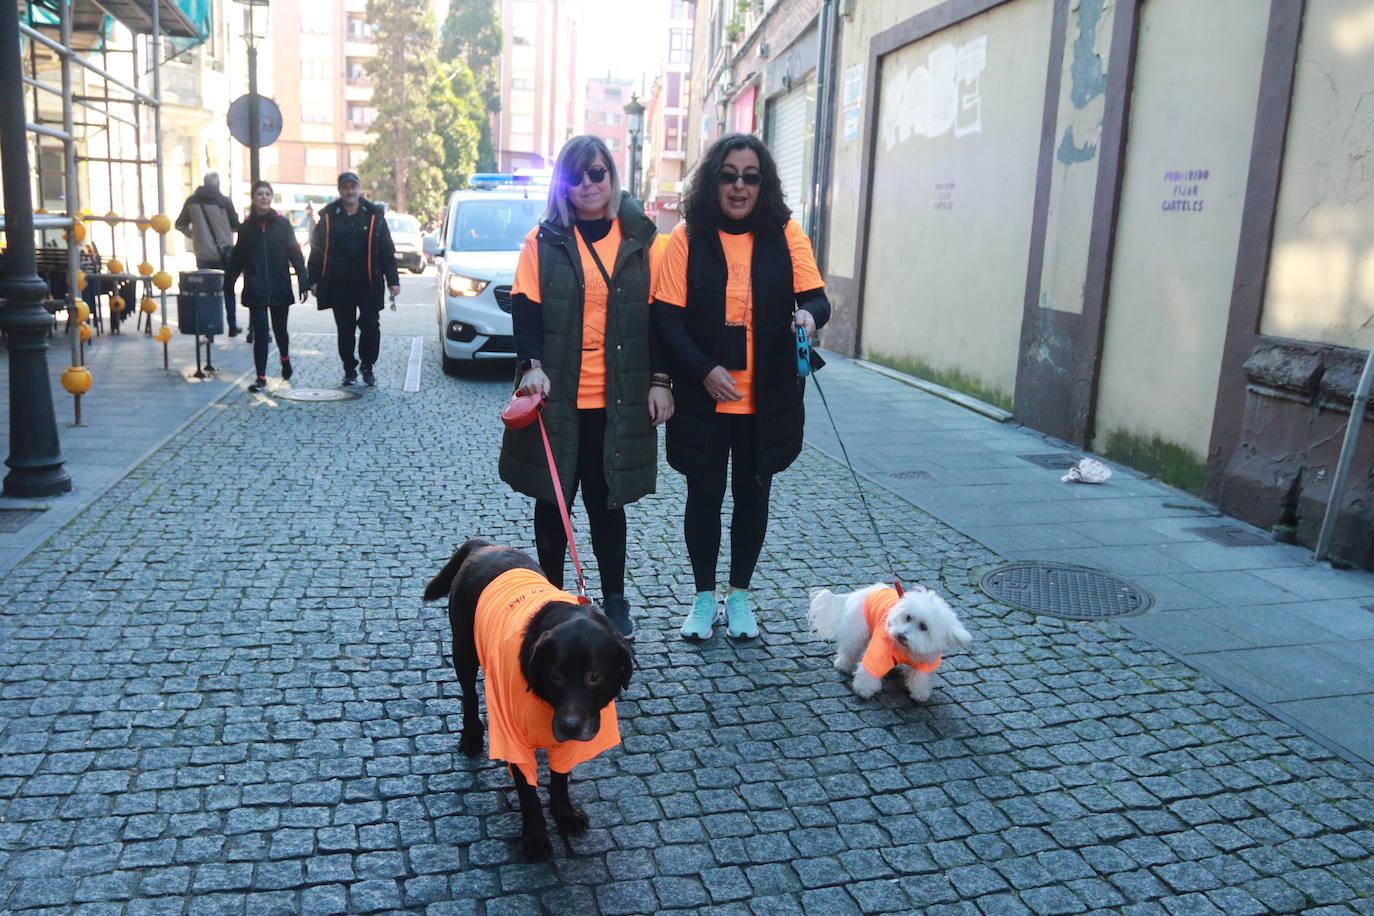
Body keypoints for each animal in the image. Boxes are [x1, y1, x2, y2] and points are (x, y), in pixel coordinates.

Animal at [423, 538, 632, 862]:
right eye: (555, 676)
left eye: (595, 676)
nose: (570, 726)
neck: (548, 704)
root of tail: (483, 546)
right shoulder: (512, 736)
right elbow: (527, 790)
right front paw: (535, 838)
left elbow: (560, 778)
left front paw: (564, 814)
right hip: (464, 650)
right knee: (469, 695)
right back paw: (471, 737)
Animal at [807, 585, 972, 708]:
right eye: (908, 617)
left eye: (923, 627)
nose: (901, 635)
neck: (905, 649)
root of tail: (861, 592)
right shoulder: (879, 651)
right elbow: (869, 671)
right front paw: (864, 689)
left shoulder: (925, 662)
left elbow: (920, 677)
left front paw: (920, 693)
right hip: (856, 632)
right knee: (849, 650)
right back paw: (843, 665)